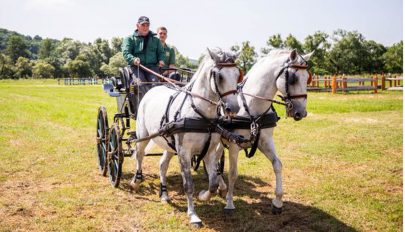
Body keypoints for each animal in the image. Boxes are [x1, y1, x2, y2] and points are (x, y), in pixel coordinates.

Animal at [131, 47, 241, 227]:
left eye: (238, 73)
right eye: (219, 76)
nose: (234, 108)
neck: (200, 114)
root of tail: (153, 89)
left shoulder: (209, 152)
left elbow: (213, 183)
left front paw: (203, 196)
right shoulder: (184, 152)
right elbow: (188, 185)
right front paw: (193, 215)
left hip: (169, 144)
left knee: (162, 165)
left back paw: (164, 194)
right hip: (143, 134)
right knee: (139, 155)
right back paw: (136, 181)